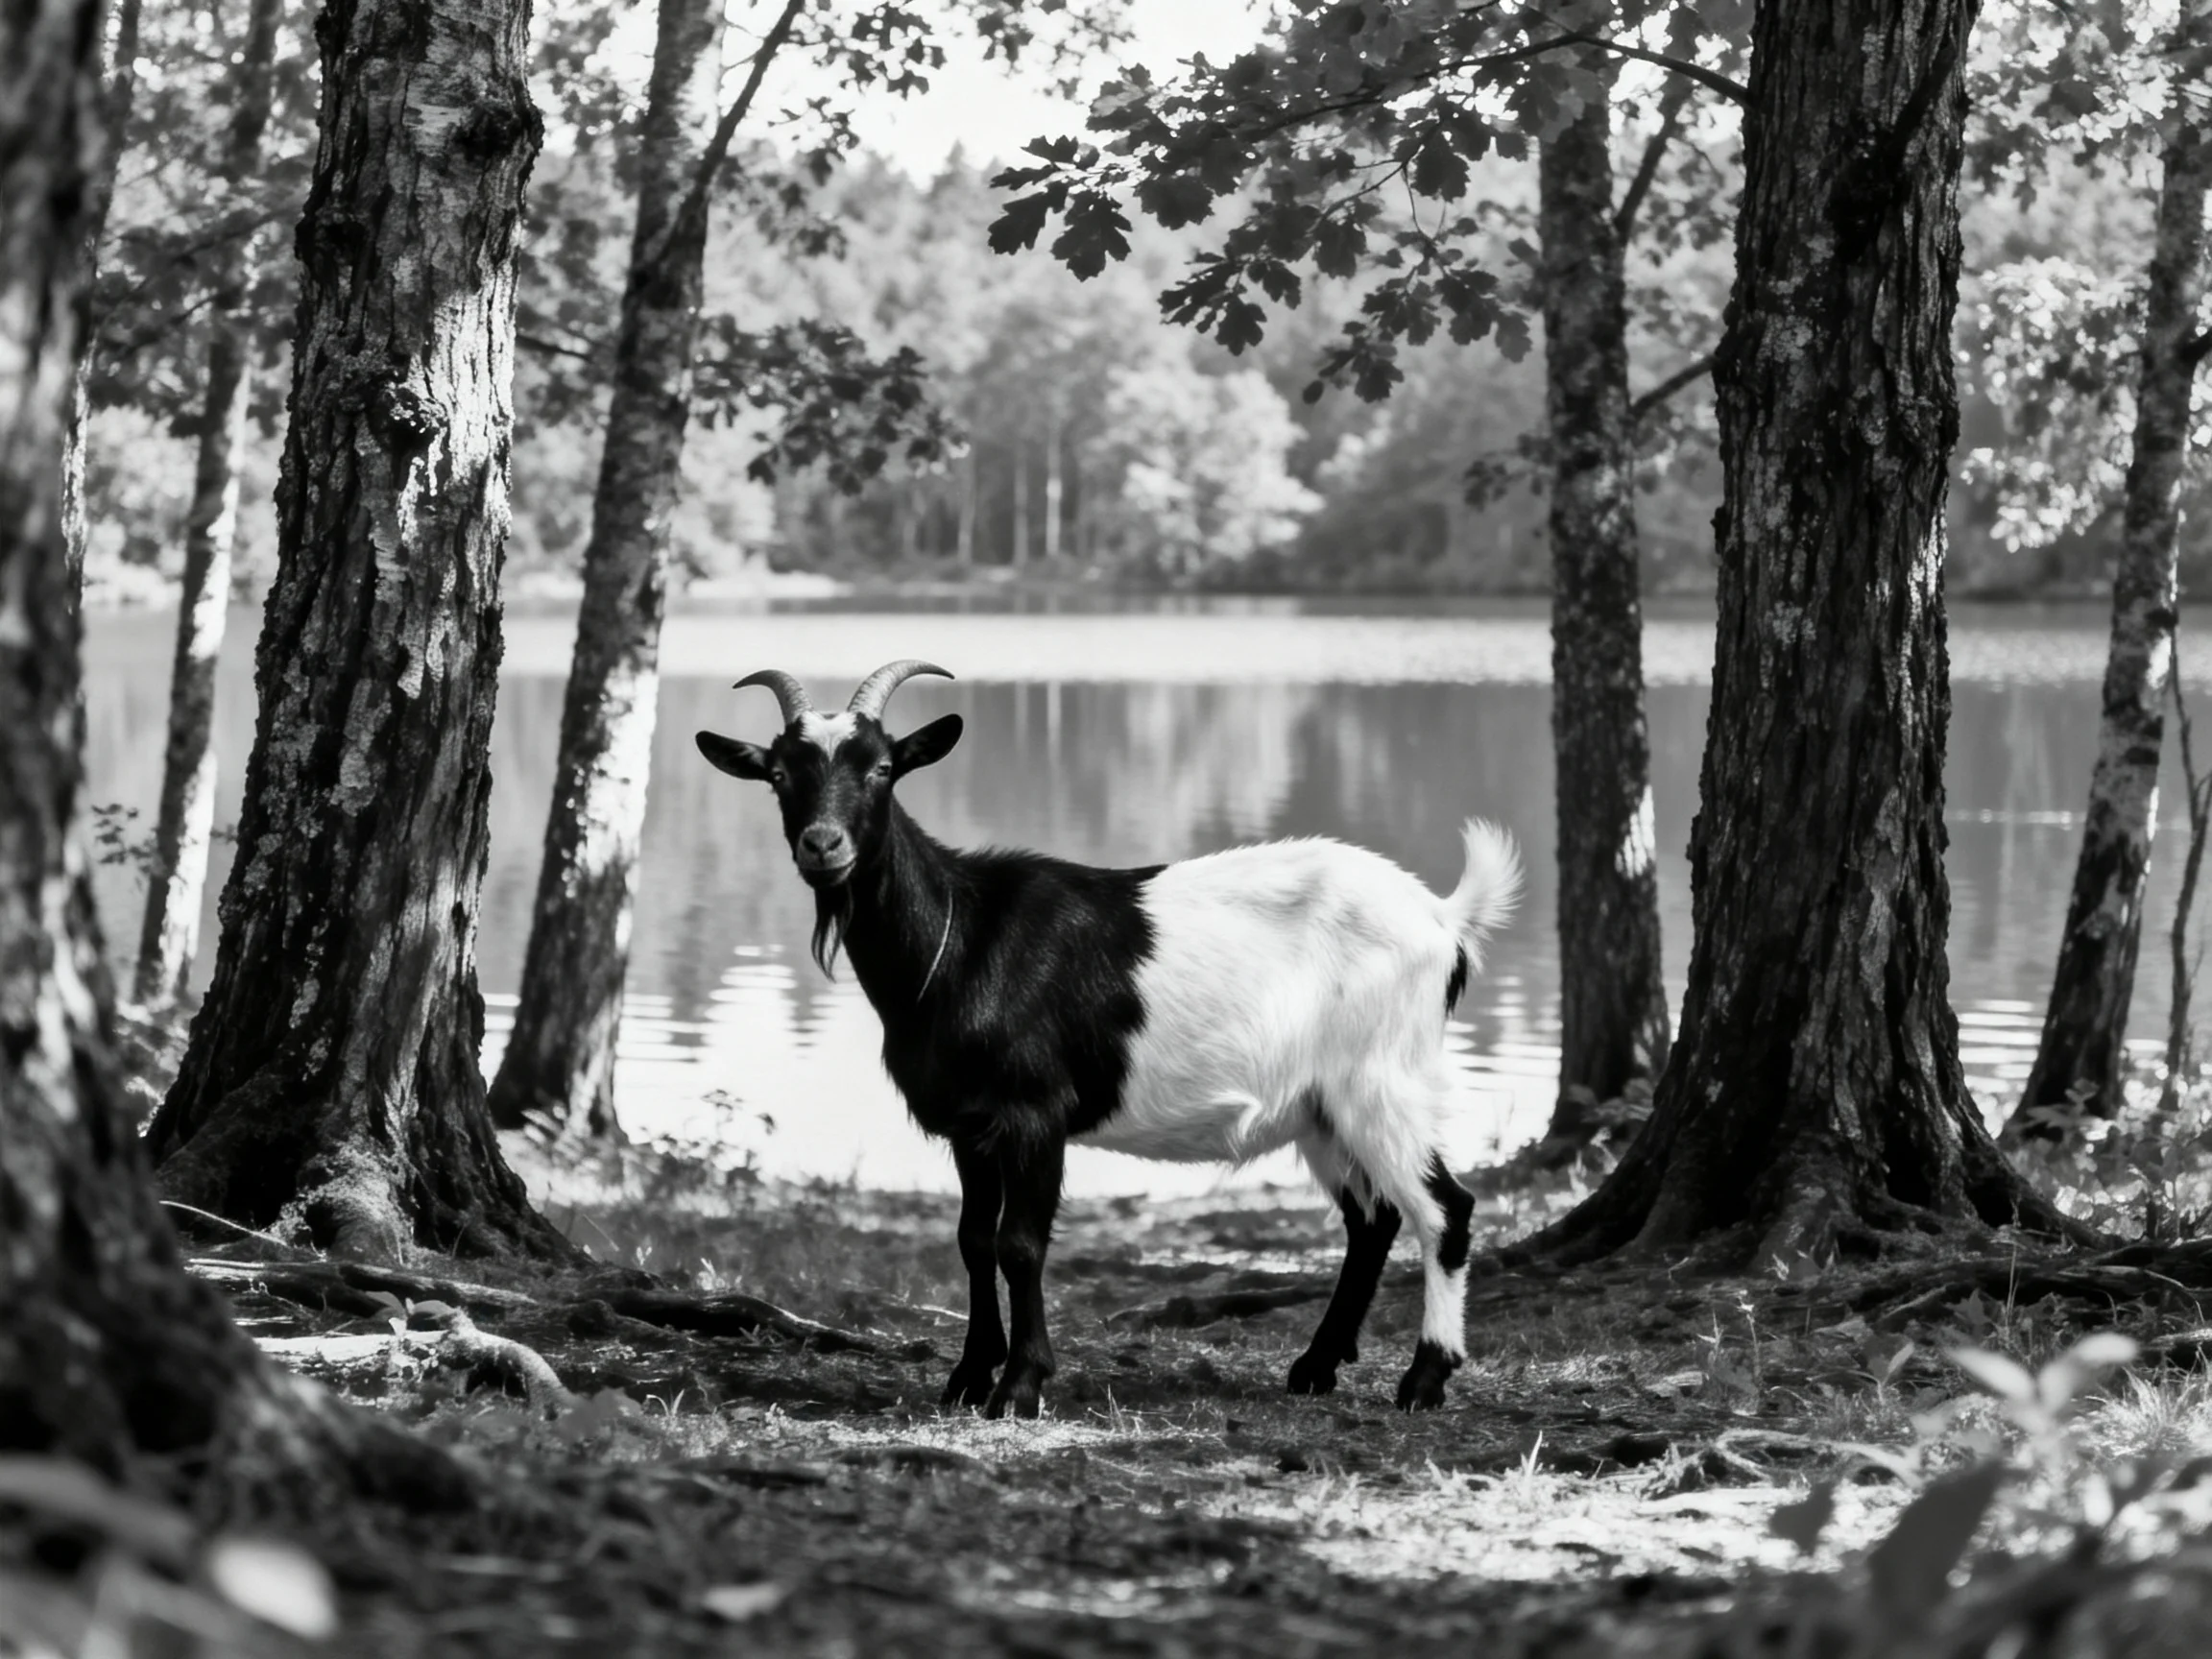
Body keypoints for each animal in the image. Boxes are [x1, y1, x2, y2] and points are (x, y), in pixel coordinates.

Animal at [696, 660, 1521, 1419]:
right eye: (778, 774)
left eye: (882, 769)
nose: (823, 845)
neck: (961, 938)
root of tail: (1444, 919)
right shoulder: (972, 1125)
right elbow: (972, 1239)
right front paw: (967, 1377)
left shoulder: (1034, 1112)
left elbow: (1019, 1243)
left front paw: (1020, 1385)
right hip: (1322, 1107)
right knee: (1373, 1218)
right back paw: (1316, 1367)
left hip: (1382, 1080)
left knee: (1446, 1209)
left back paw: (1424, 1379)